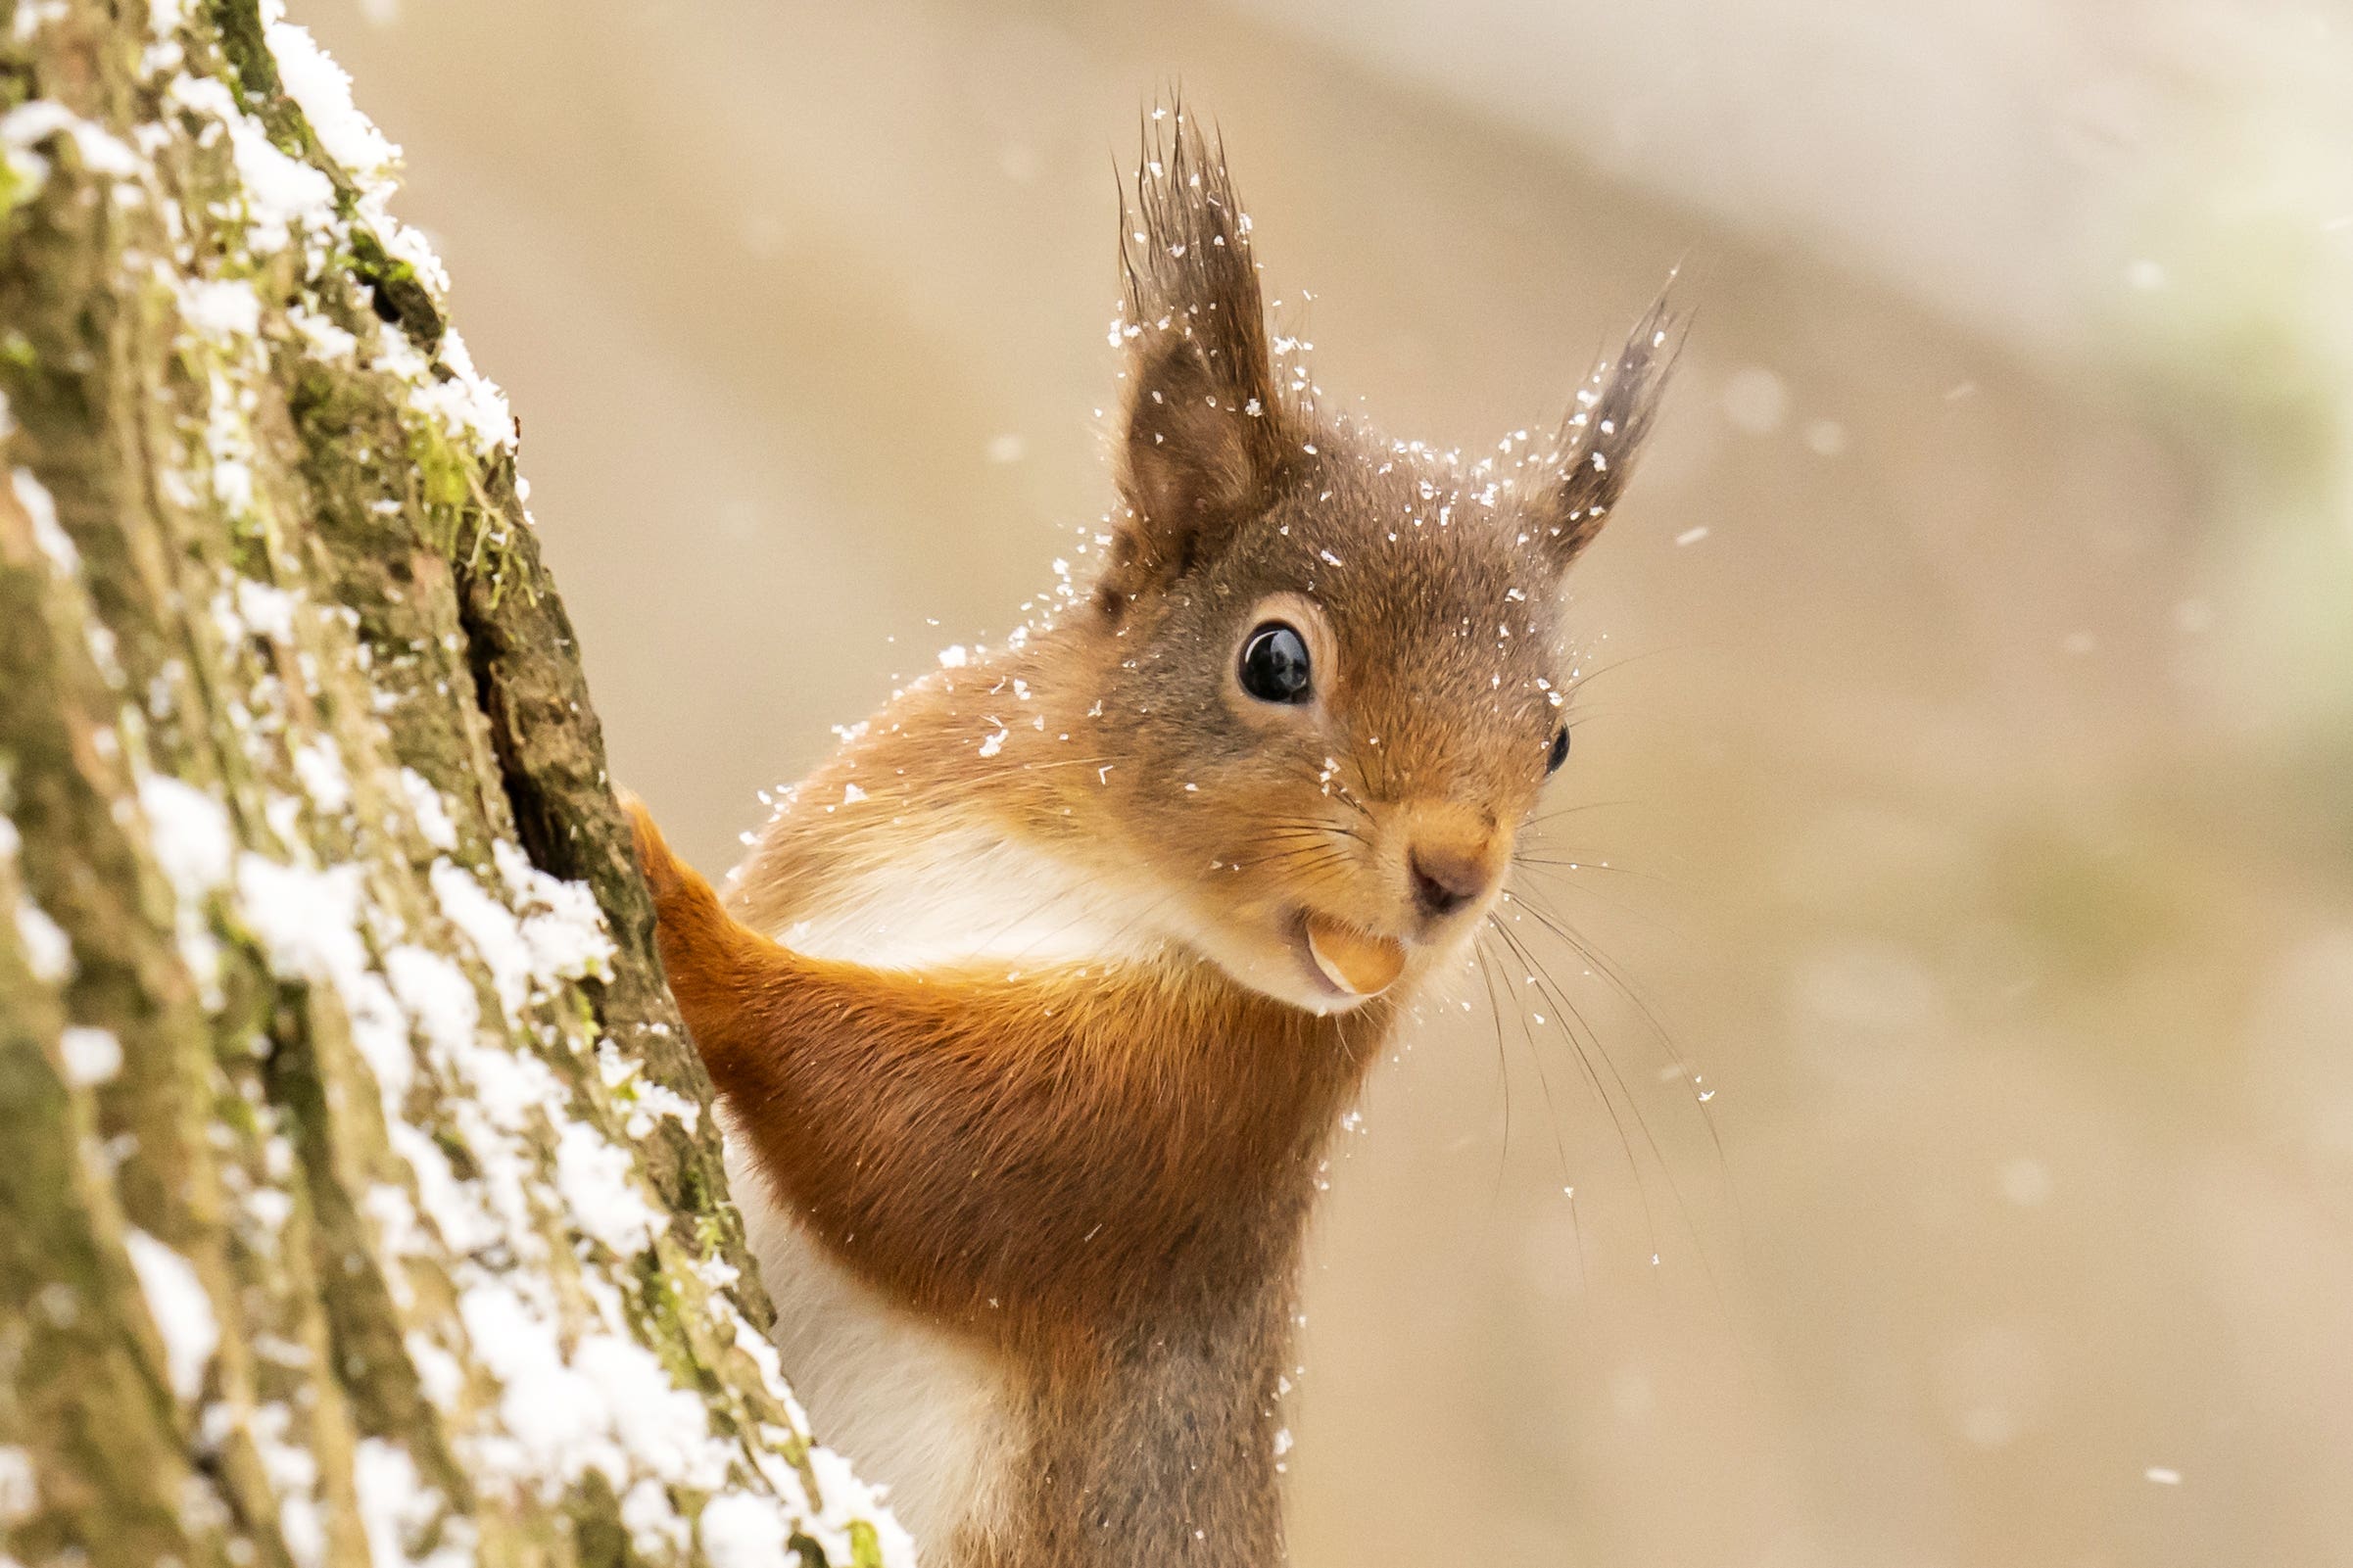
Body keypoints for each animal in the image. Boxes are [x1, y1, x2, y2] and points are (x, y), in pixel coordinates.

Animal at [630, 110, 1675, 1568]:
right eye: (1275, 657)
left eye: (1558, 739)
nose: (1454, 873)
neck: (1085, 862)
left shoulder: (1191, 1127)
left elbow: (928, 1141)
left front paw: (677, 904)